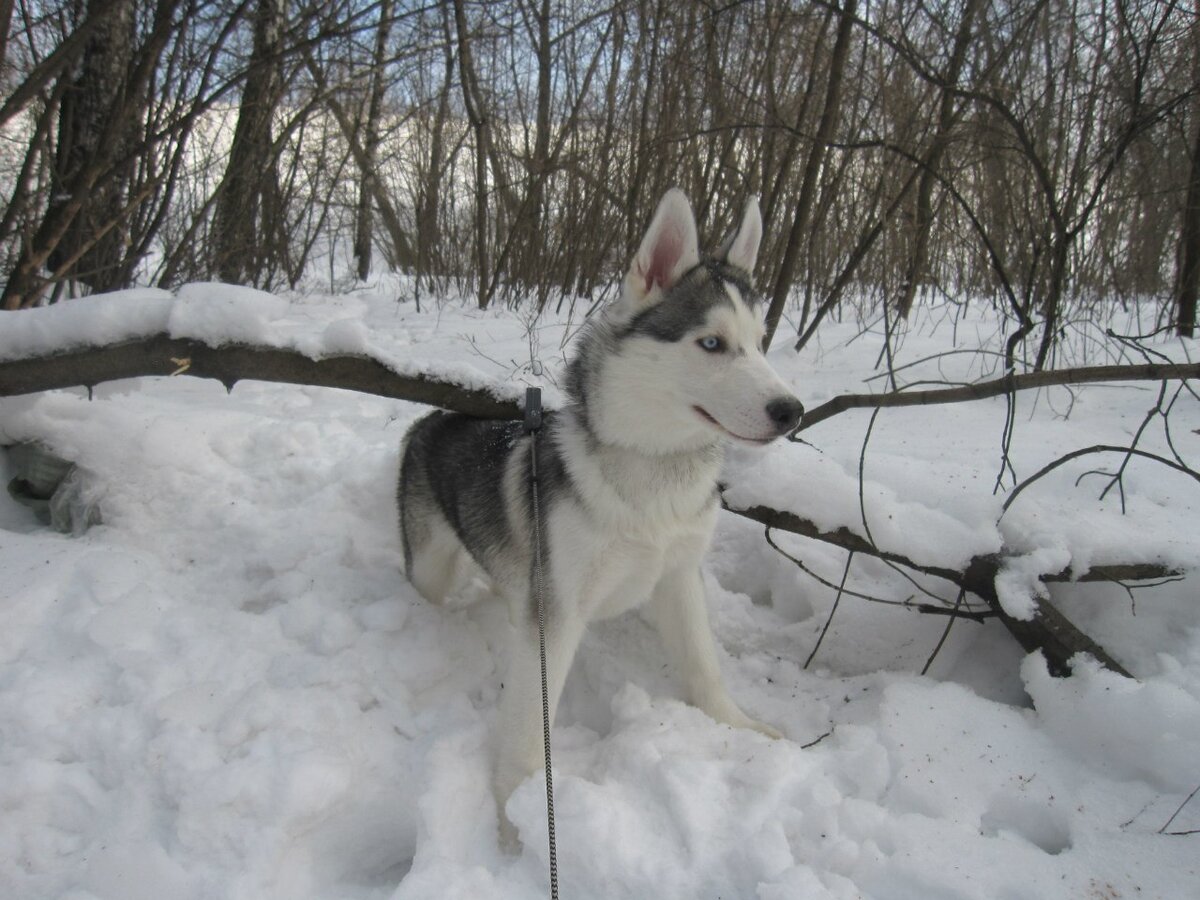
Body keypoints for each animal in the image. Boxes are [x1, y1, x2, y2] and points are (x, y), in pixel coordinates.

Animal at [398, 188, 801, 830]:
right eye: (712, 343)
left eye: (761, 343)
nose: (792, 411)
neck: (651, 470)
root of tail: (429, 418)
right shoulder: (556, 614)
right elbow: (527, 729)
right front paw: (516, 815)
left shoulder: (678, 575)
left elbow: (703, 665)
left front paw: (737, 726)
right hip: (432, 570)